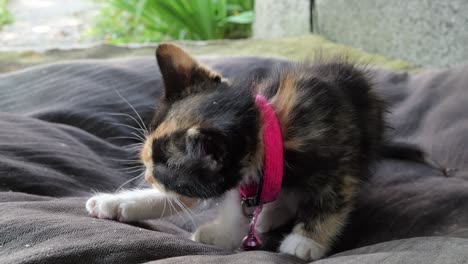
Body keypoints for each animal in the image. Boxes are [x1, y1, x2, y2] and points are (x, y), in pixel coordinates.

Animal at [87, 44, 384, 260]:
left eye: (163, 175)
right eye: (148, 165)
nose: (149, 178)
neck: (269, 129)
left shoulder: (339, 156)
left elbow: (333, 199)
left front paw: (305, 241)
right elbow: (208, 201)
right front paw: (114, 203)